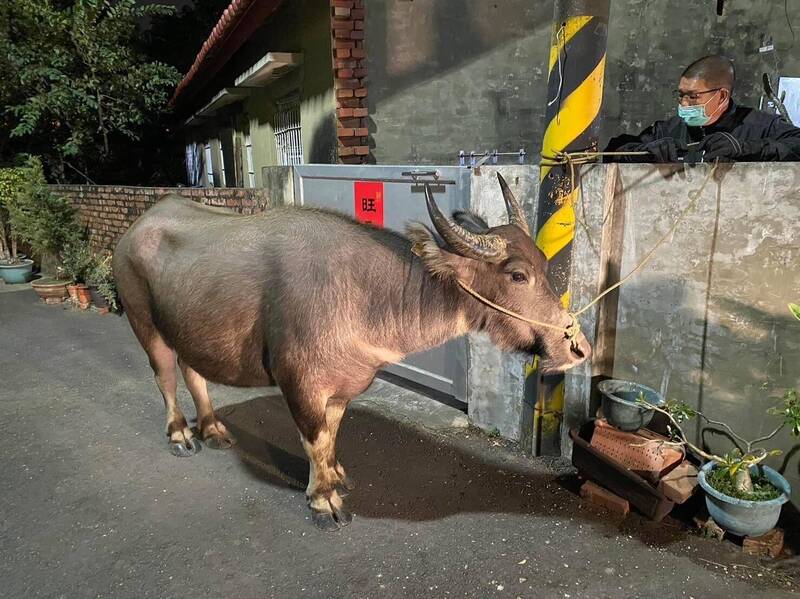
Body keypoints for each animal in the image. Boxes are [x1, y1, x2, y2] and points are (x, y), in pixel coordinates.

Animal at [112, 173, 588, 528]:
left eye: (545, 265)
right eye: (517, 275)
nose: (577, 348)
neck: (364, 294)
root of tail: (137, 228)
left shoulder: (341, 387)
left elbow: (332, 434)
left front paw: (336, 476)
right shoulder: (299, 384)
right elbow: (314, 438)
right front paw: (323, 499)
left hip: (188, 328)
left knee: (192, 370)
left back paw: (212, 428)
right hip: (144, 322)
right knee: (165, 375)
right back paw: (180, 434)